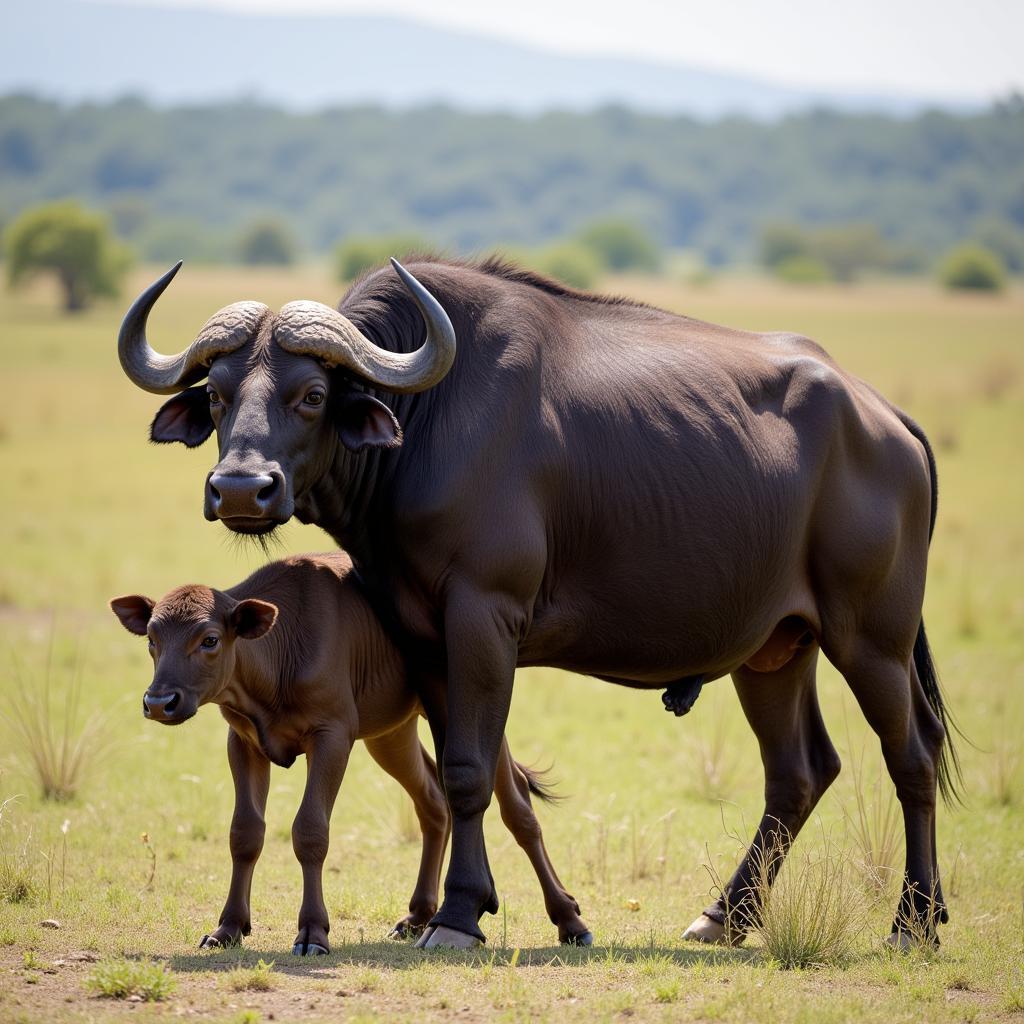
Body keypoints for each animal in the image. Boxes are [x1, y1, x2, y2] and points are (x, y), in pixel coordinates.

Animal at [110, 552, 593, 950]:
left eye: (209, 639)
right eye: (151, 638)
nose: (159, 702)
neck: (282, 650)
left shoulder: (332, 735)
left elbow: (310, 831)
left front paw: (312, 932)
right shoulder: (243, 741)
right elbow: (244, 833)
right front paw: (228, 928)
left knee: (518, 807)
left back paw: (570, 921)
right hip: (392, 732)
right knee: (433, 800)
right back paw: (418, 915)